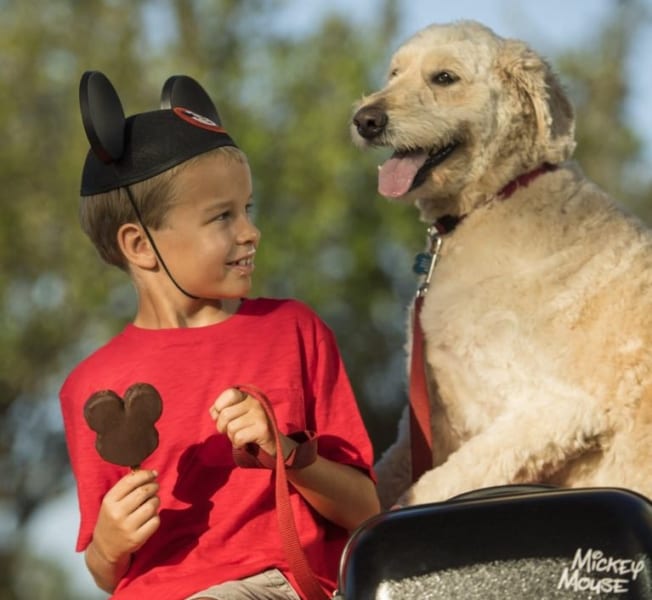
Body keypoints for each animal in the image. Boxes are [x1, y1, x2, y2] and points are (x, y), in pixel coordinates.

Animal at [352, 18, 652, 508]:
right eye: (394, 73)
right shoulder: (432, 415)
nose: (364, 120)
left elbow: (437, 484)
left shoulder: (555, 407)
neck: (496, 198)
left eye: (444, 78)